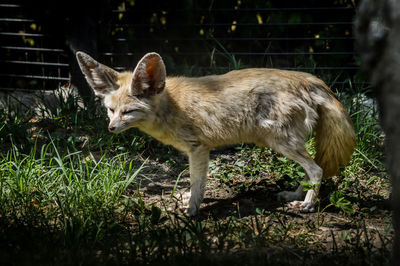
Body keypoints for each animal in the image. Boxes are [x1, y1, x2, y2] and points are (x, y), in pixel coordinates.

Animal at [76, 51, 354, 215]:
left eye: (129, 112)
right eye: (111, 110)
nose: (111, 128)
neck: (171, 106)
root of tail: (310, 79)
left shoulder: (198, 148)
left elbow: (198, 182)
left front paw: (191, 211)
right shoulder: (198, 150)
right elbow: (195, 184)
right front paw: (189, 199)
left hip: (282, 143)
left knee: (316, 169)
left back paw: (307, 204)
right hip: (282, 143)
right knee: (312, 169)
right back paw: (295, 194)